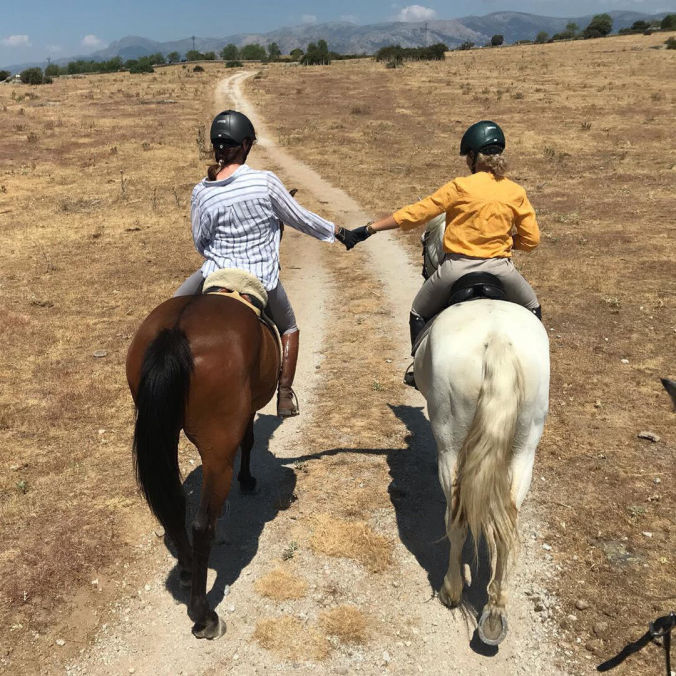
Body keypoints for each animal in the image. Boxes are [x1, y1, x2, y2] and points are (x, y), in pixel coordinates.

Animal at [125, 277, 280, 640]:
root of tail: (175, 331)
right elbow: (249, 439)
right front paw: (248, 480)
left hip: (164, 432)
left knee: (173, 506)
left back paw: (185, 569)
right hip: (216, 449)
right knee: (201, 524)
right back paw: (204, 615)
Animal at [414, 215, 550, 645]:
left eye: (424, 241)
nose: (424, 266)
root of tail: (498, 339)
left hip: (451, 446)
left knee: (457, 519)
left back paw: (452, 590)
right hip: (524, 449)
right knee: (508, 523)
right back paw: (495, 610)